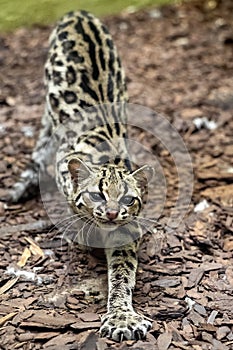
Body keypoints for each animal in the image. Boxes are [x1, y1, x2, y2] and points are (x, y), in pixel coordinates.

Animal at [10, 11, 153, 342]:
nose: (112, 213)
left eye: (128, 199)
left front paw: (122, 315)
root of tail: (79, 13)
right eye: (97, 194)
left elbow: (123, 273)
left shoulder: (126, 230)